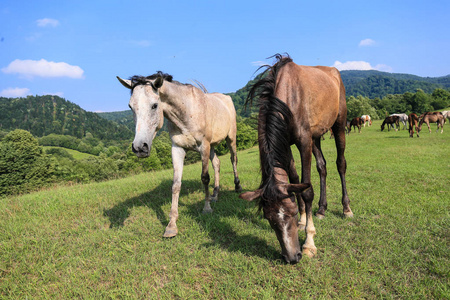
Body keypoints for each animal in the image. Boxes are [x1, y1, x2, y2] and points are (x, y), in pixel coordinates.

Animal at [117, 72, 243, 237]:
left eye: (154, 105)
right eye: (130, 106)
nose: (139, 147)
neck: (186, 112)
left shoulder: (204, 146)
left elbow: (204, 178)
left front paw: (206, 208)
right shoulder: (177, 149)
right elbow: (176, 185)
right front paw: (171, 225)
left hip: (230, 138)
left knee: (233, 159)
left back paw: (237, 187)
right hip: (212, 146)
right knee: (217, 164)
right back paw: (215, 195)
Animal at [241, 55, 354, 264]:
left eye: (291, 214)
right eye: (269, 218)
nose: (292, 257)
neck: (287, 96)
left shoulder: (303, 142)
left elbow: (307, 189)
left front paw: (309, 243)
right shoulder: (287, 144)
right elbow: (295, 181)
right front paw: (303, 220)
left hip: (339, 124)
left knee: (340, 164)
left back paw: (346, 209)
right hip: (316, 137)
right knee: (322, 167)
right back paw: (321, 209)